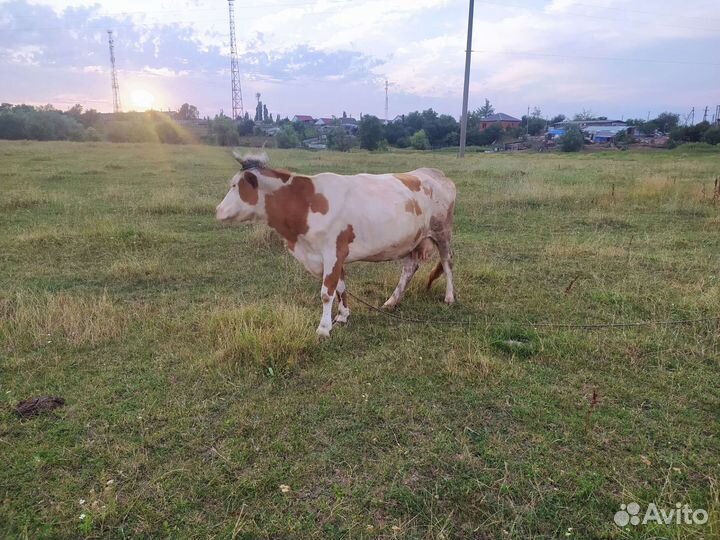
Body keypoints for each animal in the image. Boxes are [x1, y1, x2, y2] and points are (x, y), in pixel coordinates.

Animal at [215, 152, 456, 337]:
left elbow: (327, 291)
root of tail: (432, 173)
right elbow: (340, 286)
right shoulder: (333, 255)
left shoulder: (332, 251)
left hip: (442, 231)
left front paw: (323, 328)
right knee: (409, 268)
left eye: (235, 186)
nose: (218, 210)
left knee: (447, 263)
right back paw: (392, 301)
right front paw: (342, 317)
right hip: (412, 239)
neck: (305, 203)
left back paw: (449, 297)